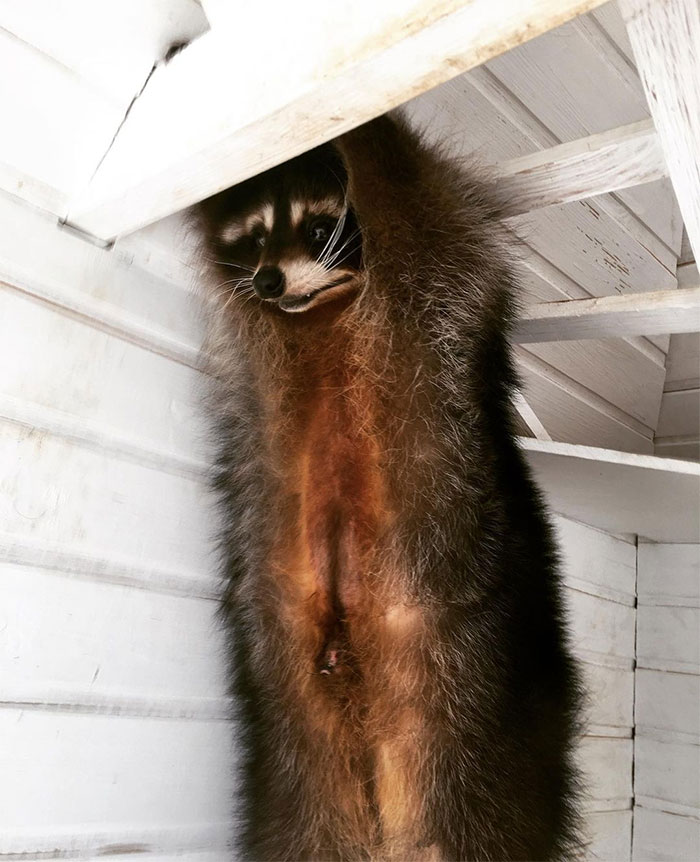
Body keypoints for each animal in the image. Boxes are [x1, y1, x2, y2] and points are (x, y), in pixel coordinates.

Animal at [195, 114, 583, 861]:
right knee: (308, 826)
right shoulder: (258, 348)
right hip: (291, 716)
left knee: (462, 831)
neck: (325, 314)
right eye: (253, 238)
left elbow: (424, 212)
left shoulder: (437, 302)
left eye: (318, 227)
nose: (266, 279)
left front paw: (370, 131)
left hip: (466, 706)